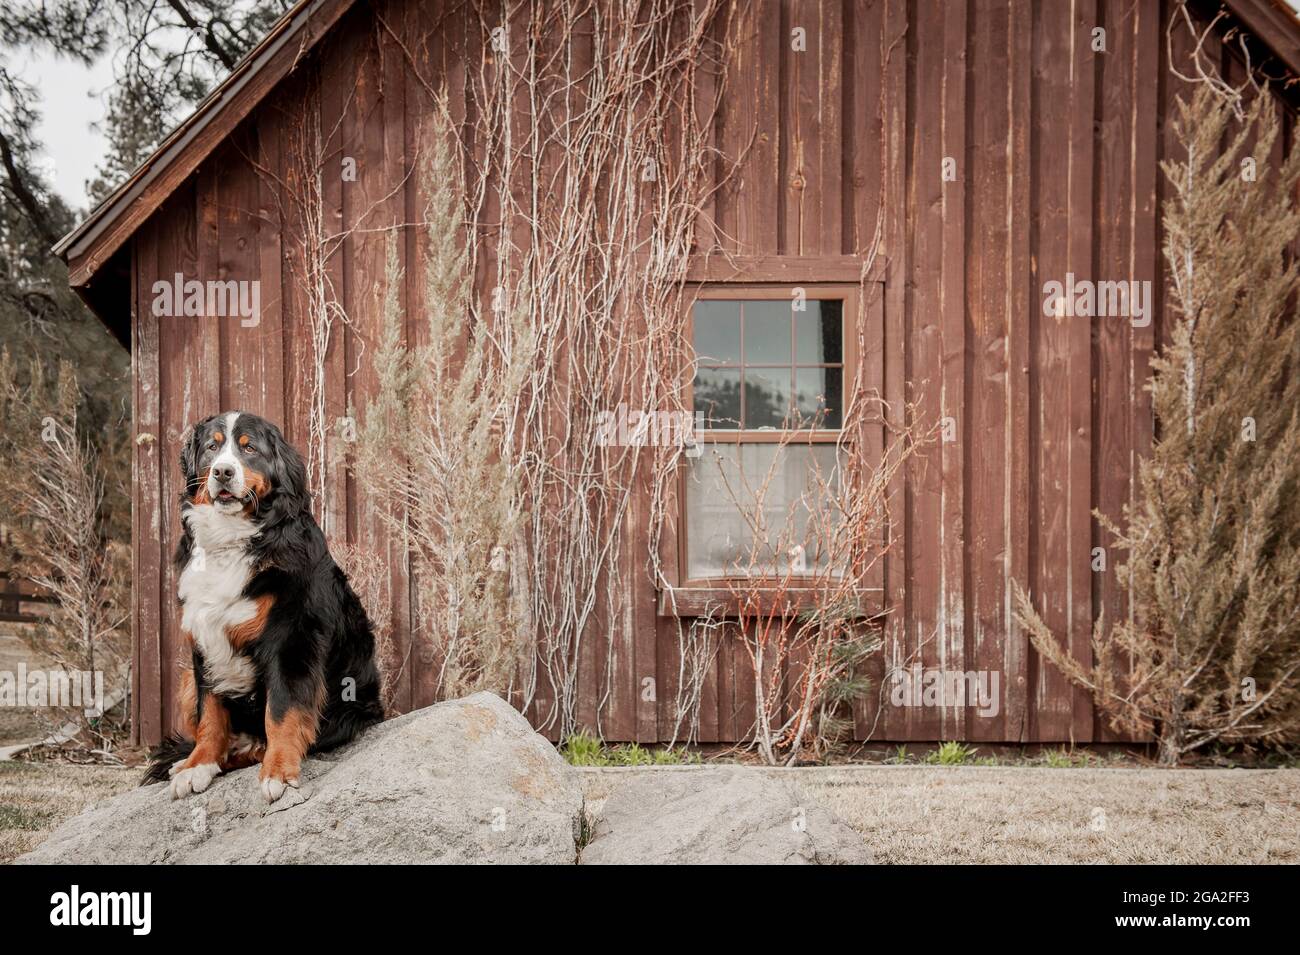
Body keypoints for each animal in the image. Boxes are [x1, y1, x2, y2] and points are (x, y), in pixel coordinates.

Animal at [146, 410, 384, 800]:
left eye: (250, 449)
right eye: (212, 447)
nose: (223, 472)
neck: (232, 539)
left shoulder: (291, 638)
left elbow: (282, 712)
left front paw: (279, 771)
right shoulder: (204, 638)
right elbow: (210, 714)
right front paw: (199, 764)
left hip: (350, 705)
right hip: (183, 678)